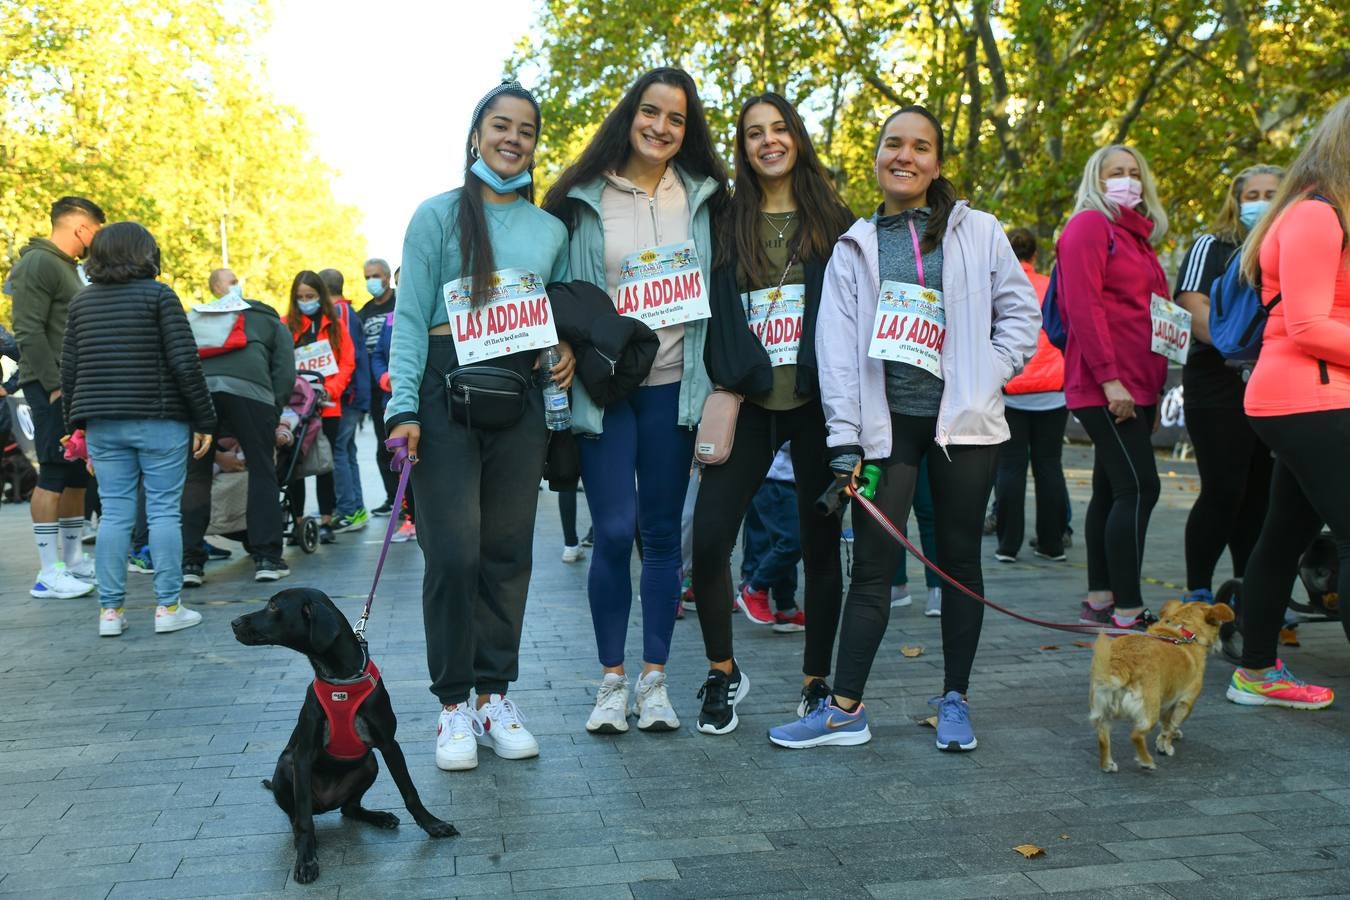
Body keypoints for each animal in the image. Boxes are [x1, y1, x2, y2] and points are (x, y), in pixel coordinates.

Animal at [229, 588, 456, 885]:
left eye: (274, 606)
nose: (233, 623)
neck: (340, 678)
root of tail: (327, 802)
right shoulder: (302, 755)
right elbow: (304, 818)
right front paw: (306, 859)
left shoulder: (389, 744)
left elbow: (410, 792)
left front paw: (433, 825)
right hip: (287, 766)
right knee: (299, 815)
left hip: (369, 763)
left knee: (349, 808)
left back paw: (379, 817)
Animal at [1090, 599, 1236, 777]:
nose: (1221, 647)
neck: (1185, 629)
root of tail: (1122, 664)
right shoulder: (1185, 702)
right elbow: (1171, 726)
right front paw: (1165, 746)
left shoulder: (1167, 702)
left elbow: (1167, 724)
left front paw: (1167, 739)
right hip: (1150, 708)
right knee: (1136, 735)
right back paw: (1147, 762)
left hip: (1103, 711)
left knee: (1103, 737)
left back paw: (1107, 764)